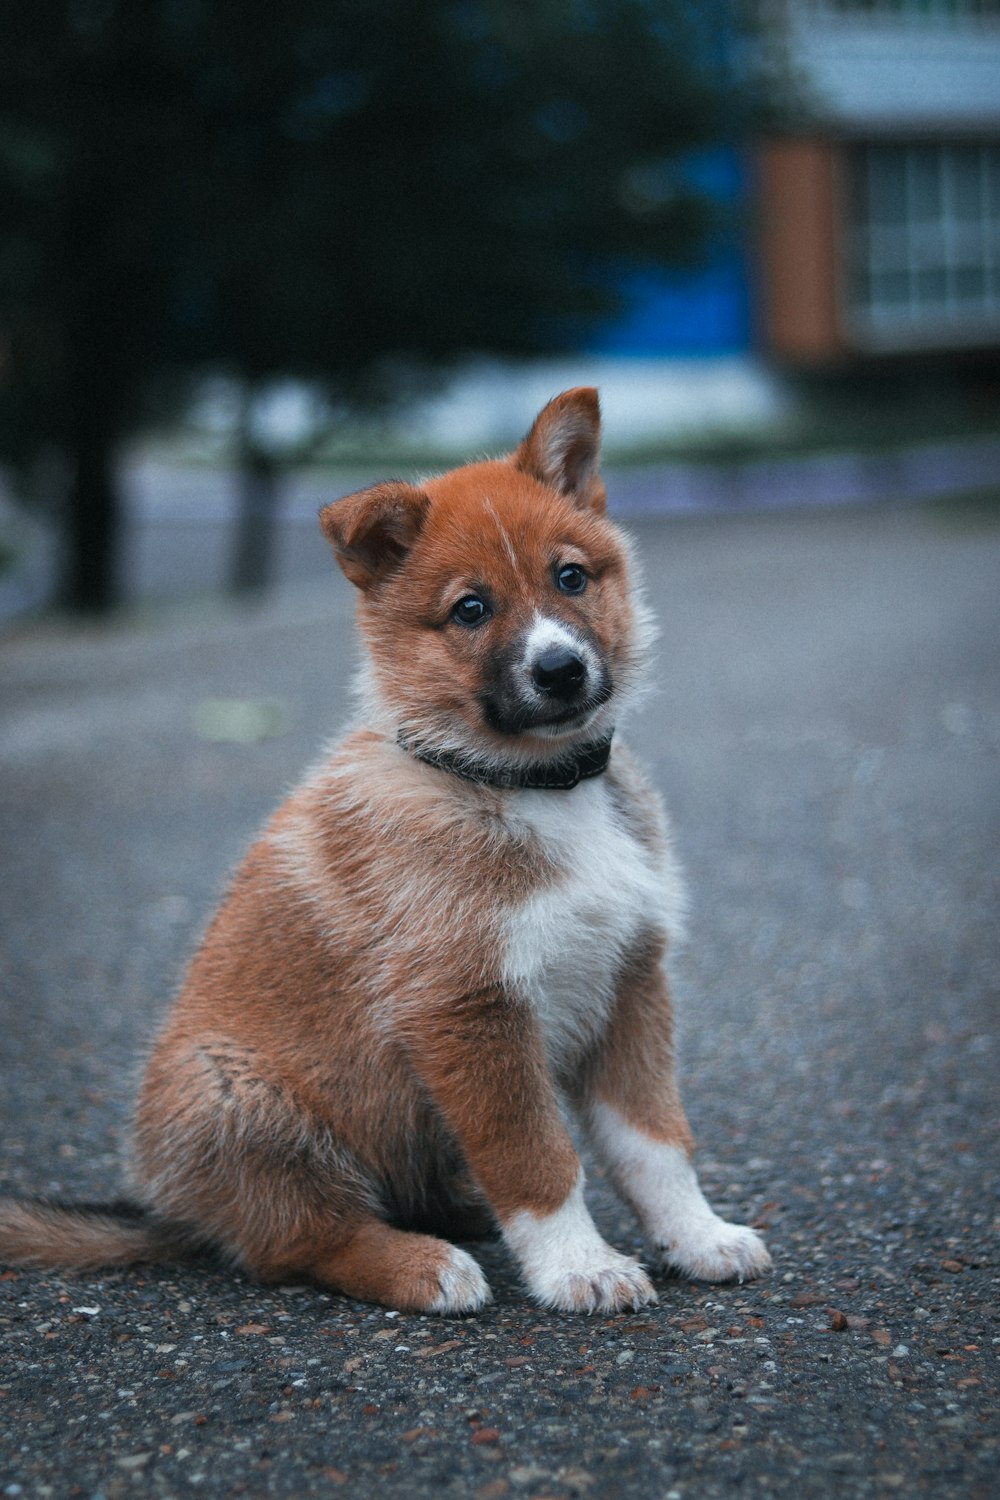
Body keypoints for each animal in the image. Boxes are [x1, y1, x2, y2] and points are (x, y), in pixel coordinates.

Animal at [0, 390, 773, 1314]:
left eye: (571, 577)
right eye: (470, 609)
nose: (560, 670)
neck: (529, 787)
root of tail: (169, 1207)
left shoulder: (631, 979)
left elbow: (656, 1141)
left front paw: (698, 1236)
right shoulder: (468, 1010)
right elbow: (537, 1160)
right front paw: (576, 1266)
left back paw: (458, 1213)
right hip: (248, 1103)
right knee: (299, 1241)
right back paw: (426, 1265)